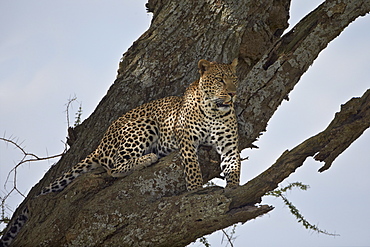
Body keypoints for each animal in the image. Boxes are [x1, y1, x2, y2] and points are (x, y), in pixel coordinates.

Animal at [0, 58, 241, 247]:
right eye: (220, 79)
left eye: (234, 79)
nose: (232, 93)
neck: (214, 111)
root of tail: (101, 142)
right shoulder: (186, 140)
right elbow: (192, 169)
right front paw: (195, 191)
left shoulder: (230, 145)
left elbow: (234, 167)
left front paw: (235, 190)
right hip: (142, 126)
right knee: (114, 167)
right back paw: (148, 158)